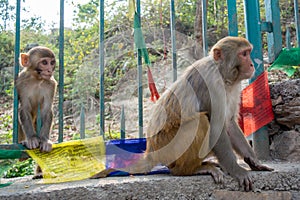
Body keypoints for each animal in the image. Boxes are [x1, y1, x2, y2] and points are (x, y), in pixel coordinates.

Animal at [92, 36, 274, 191]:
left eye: (248, 52)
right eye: (244, 54)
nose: (252, 65)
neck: (222, 74)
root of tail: (151, 151)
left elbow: (228, 123)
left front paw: (254, 161)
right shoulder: (212, 83)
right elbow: (217, 126)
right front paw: (237, 170)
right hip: (169, 146)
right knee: (201, 121)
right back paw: (191, 170)